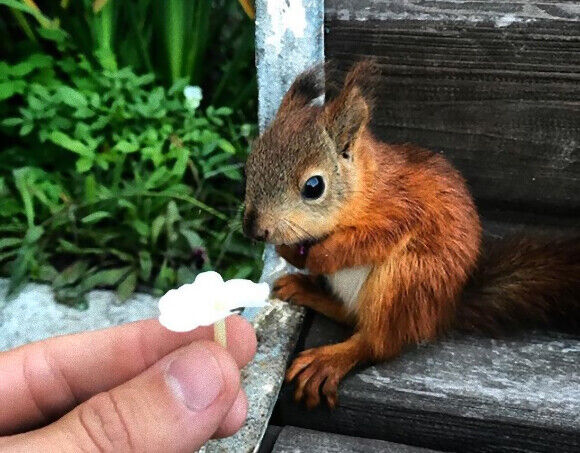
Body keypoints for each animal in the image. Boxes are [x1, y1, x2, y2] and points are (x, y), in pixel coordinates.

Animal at [241, 61, 580, 410]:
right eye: (249, 166)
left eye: (314, 186)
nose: (254, 228)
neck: (366, 190)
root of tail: (441, 311)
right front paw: (289, 252)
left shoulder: (403, 212)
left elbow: (365, 242)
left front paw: (317, 255)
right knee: (350, 315)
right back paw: (310, 291)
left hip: (405, 280)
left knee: (379, 342)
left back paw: (332, 359)